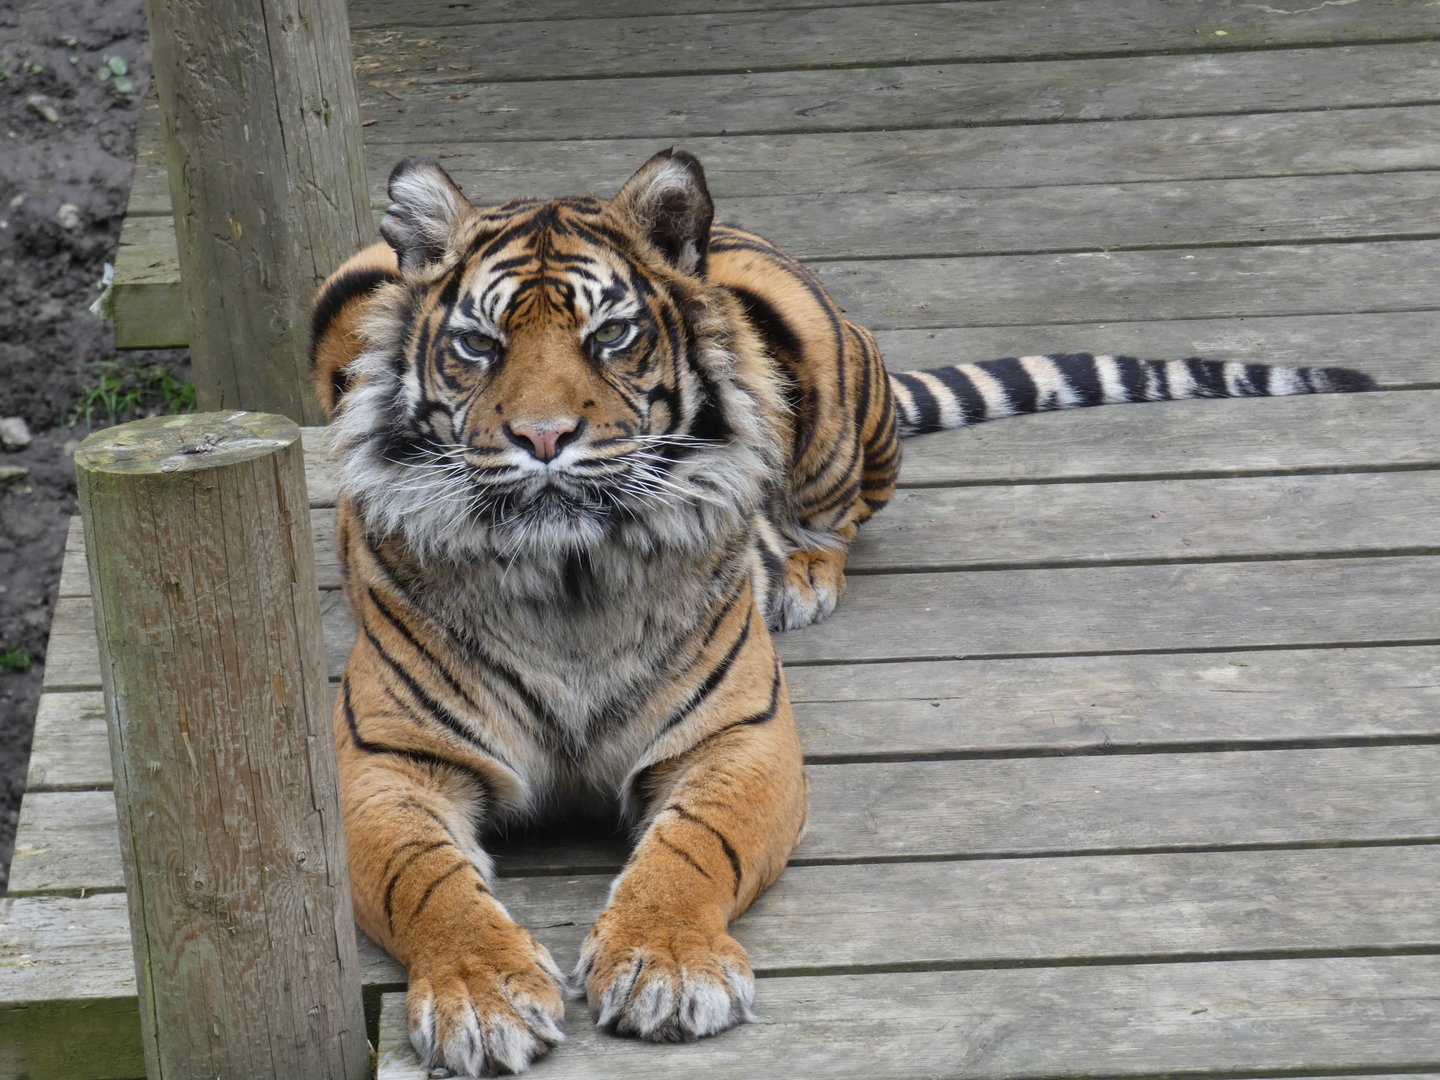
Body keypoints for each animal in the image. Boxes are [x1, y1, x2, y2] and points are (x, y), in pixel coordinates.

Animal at [310, 149, 1376, 1076]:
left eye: (611, 335)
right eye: (477, 346)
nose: (542, 438)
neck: (568, 580)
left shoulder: (741, 736)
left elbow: (690, 851)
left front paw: (668, 965)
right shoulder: (383, 761)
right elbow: (426, 880)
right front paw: (481, 994)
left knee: (848, 509)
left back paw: (802, 573)